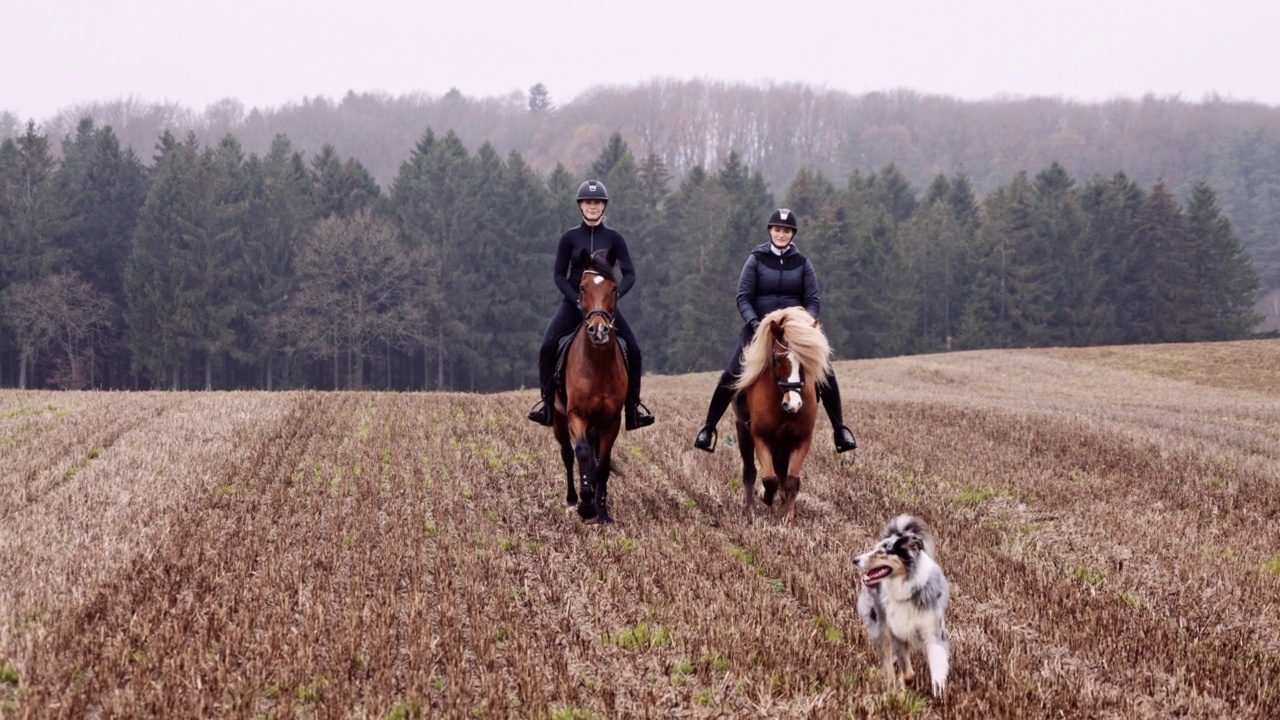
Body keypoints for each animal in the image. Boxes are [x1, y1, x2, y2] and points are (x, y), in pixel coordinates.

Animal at [552, 245, 627, 520]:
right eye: (582, 288)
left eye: (614, 288)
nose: (599, 331)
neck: (598, 365)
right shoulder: (576, 414)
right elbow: (582, 453)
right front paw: (586, 504)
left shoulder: (612, 420)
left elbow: (602, 464)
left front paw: (601, 510)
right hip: (558, 419)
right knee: (567, 454)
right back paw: (573, 500)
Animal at [737, 303, 834, 520]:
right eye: (778, 359)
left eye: (805, 361)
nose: (793, 404)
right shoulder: (761, 437)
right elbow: (769, 478)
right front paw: (765, 497)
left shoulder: (801, 440)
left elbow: (791, 479)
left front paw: (789, 516)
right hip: (742, 431)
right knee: (750, 471)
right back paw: (750, 509)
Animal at [855, 512, 947, 691]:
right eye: (875, 549)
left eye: (882, 551)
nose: (855, 560)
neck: (908, 589)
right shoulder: (897, 631)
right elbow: (908, 673)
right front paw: (900, 685)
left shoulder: (933, 630)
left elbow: (938, 667)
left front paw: (939, 692)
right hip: (880, 624)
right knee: (886, 657)